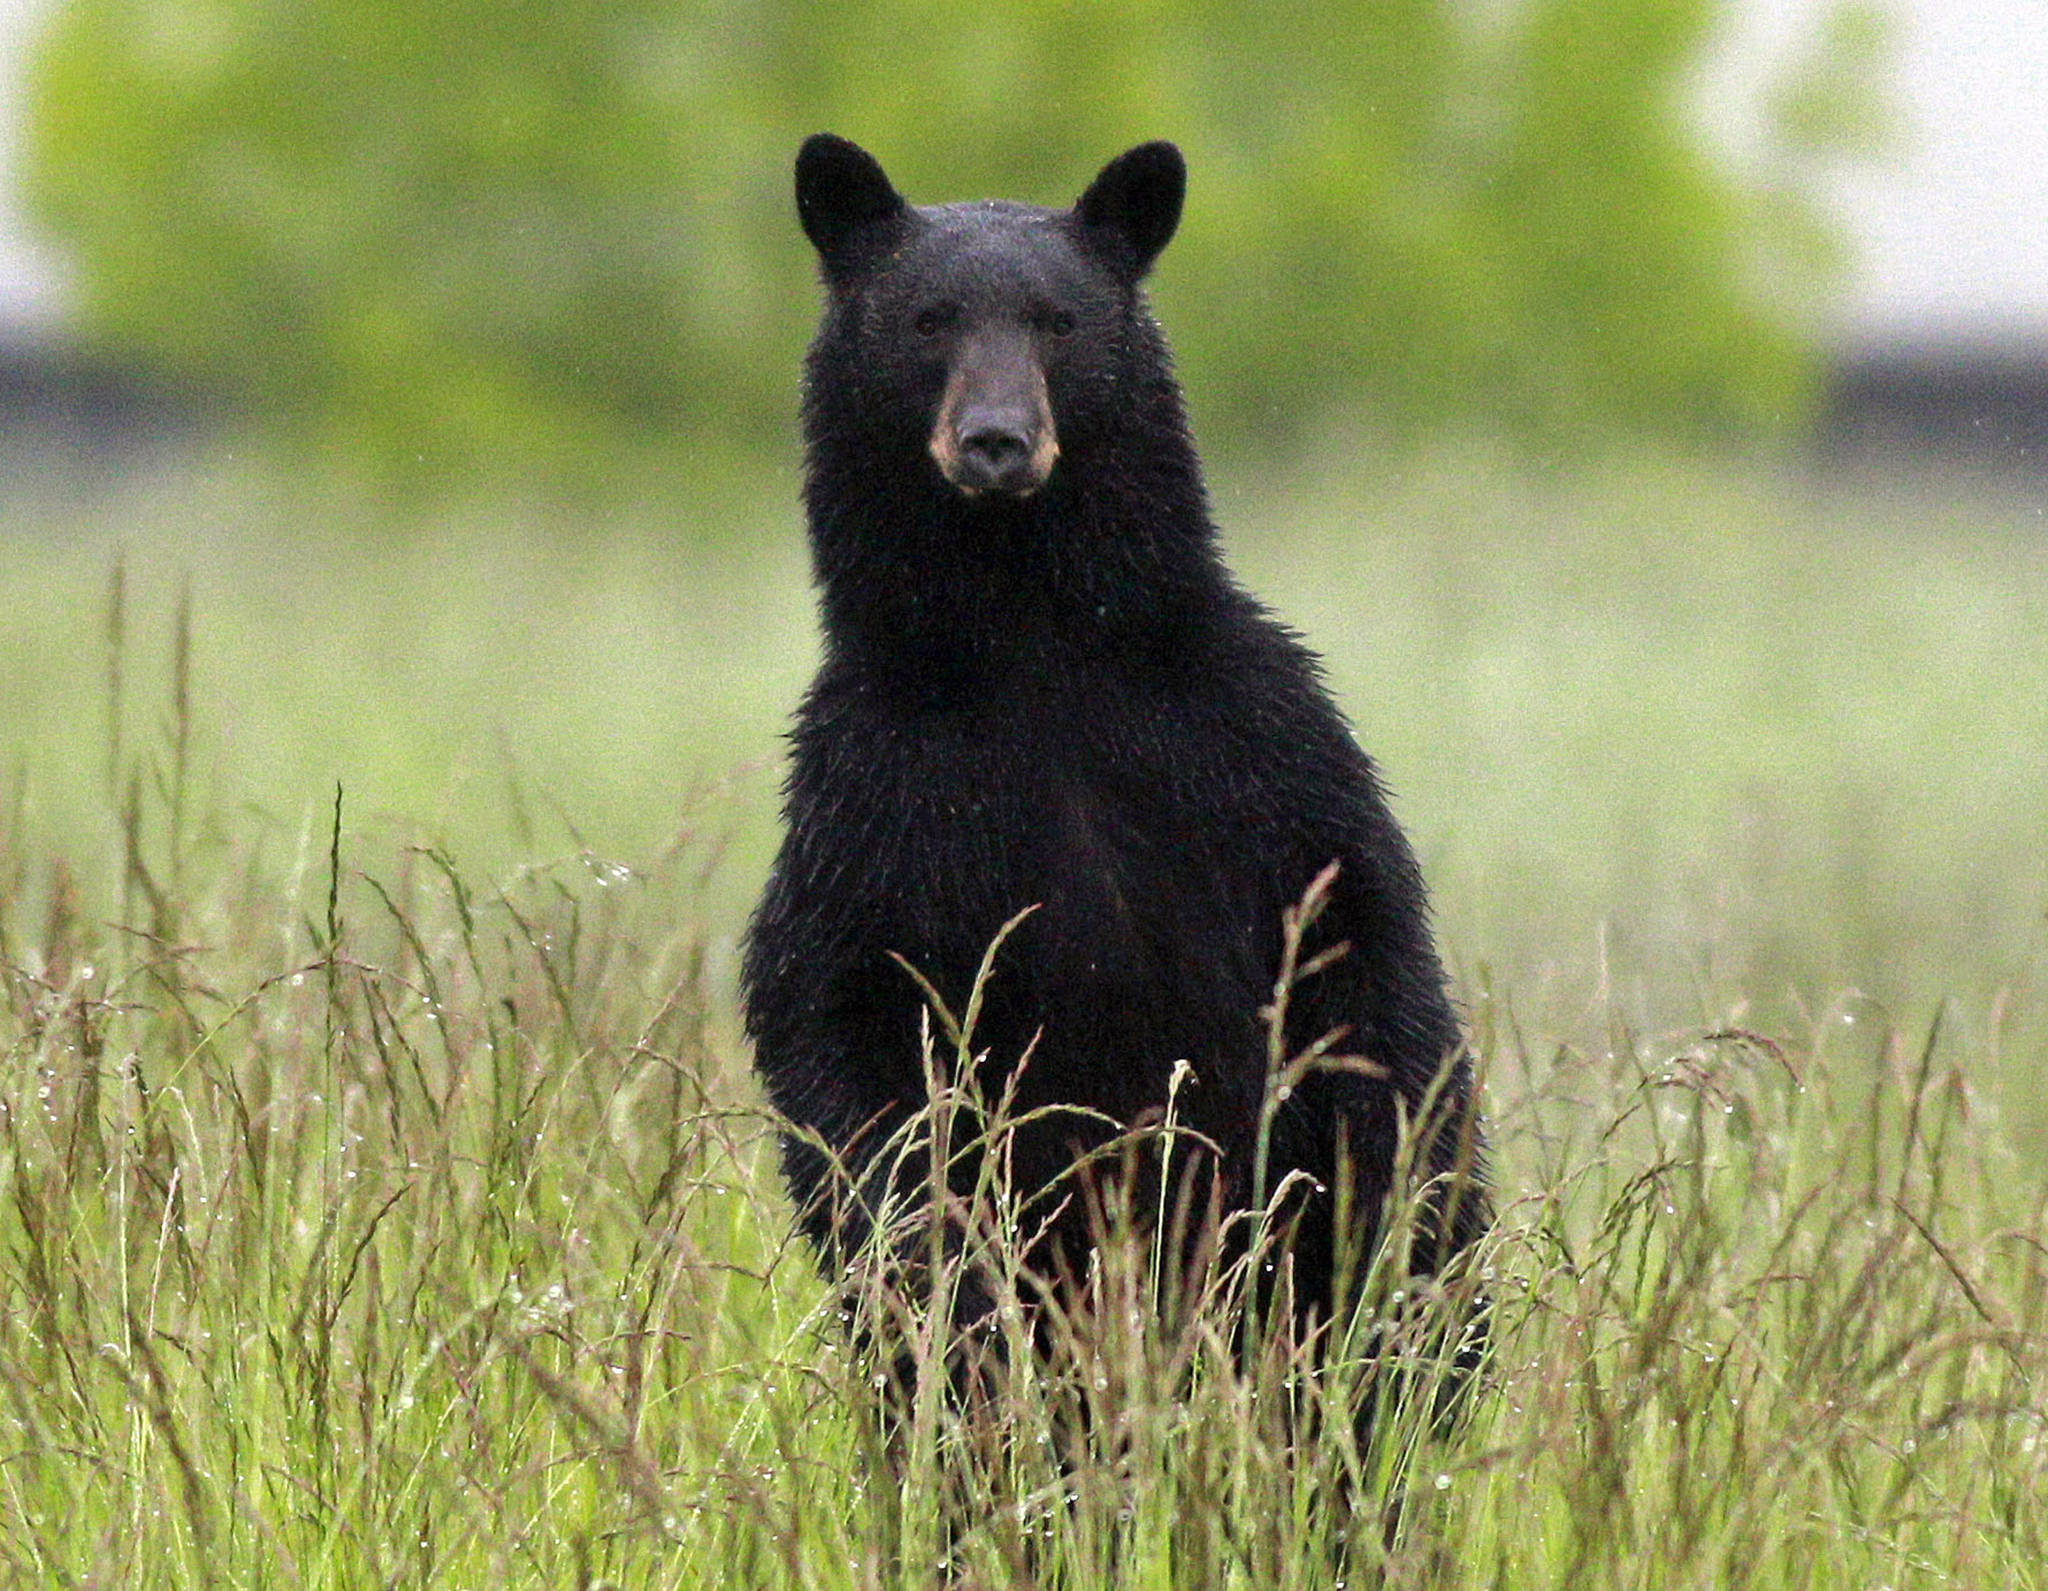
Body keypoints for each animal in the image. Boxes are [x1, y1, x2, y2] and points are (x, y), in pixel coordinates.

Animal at [742, 134, 1487, 1402]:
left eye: (1057, 321)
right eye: (929, 320)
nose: (995, 440)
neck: (1033, 646)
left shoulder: (1259, 750)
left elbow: (1370, 978)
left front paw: (1390, 1250)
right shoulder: (873, 796)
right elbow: (841, 1034)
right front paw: (948, 1283)